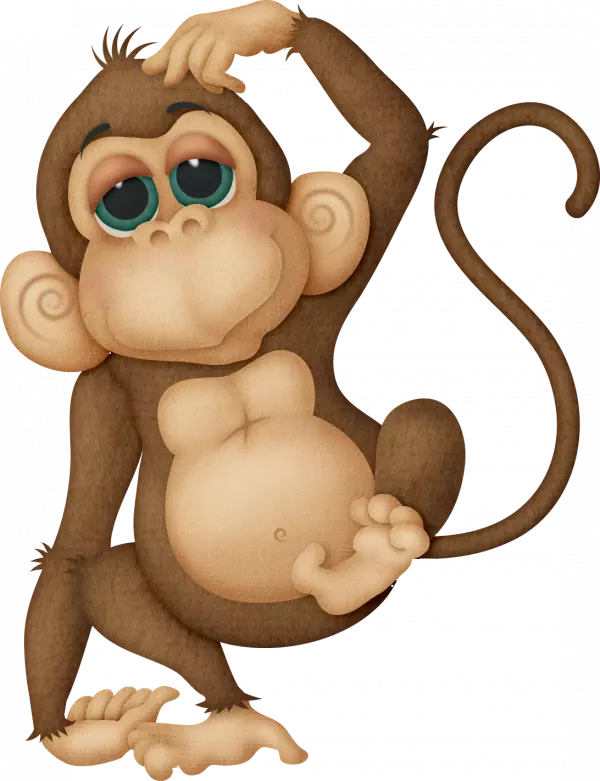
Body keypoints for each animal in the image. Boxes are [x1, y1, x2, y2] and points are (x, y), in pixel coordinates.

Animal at [3, 2, 597, 777]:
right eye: (125, 201)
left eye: (200, 176)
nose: (180, 228)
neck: (215, 361)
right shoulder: (97, 392)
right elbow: (76, 545)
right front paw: (73, 739)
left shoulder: (319, 299)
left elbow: (397, 143)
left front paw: (242, 28)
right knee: (110, 578)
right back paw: (224, 721)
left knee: (426, 421)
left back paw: (373, 561)